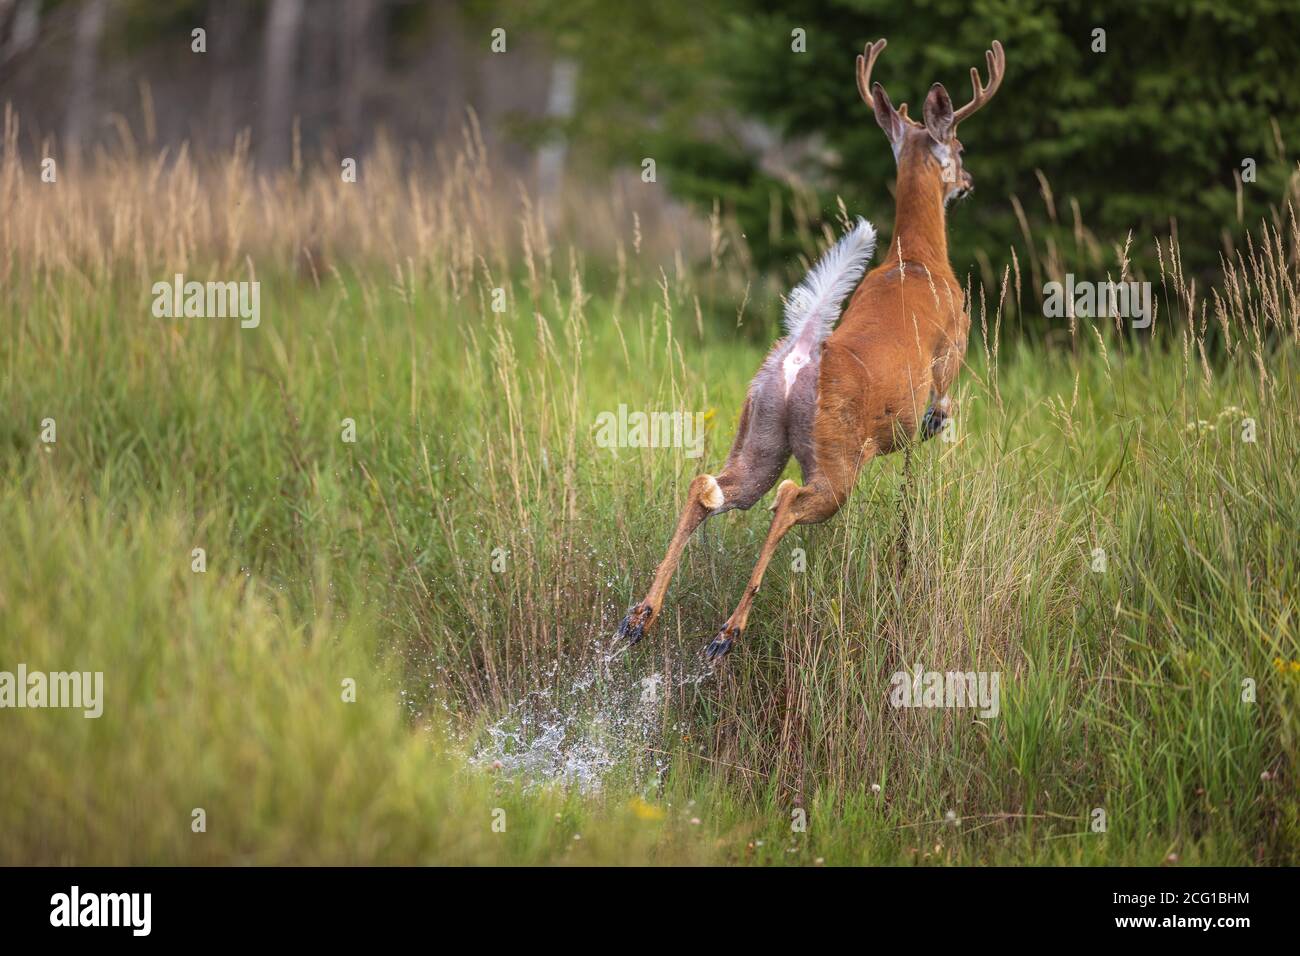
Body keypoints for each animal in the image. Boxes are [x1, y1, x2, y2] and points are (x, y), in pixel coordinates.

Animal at [618, 39, 1003, 665]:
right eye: (961, 146)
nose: (968, 181)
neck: (918, 258)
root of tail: (800, 354)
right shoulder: (950, 358)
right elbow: (940, 415)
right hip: (837, 458)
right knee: (788, 500)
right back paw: (726, 634)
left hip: (760, 436)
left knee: (709, 487)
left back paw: (640, 617)